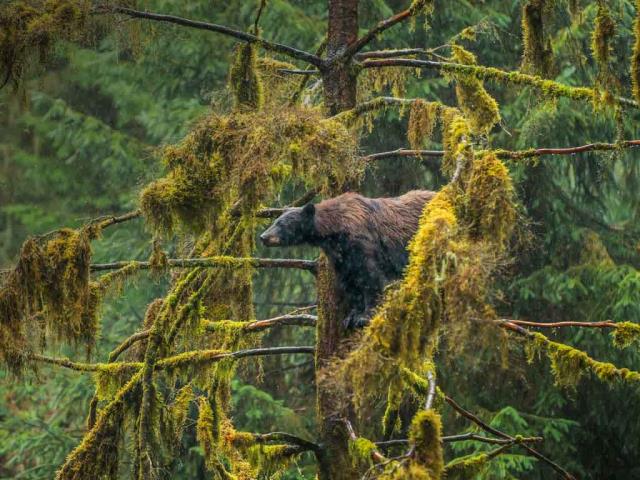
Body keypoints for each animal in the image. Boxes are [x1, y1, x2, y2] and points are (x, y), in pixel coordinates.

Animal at [259, 190, 435, 328]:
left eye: (282, 224)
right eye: (275, 221)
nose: (263, 237)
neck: (335, 230)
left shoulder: (362, 243)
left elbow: (370, 278)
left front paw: (365, 316)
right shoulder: (341, 257)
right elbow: (350, 283)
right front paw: (351, 316)